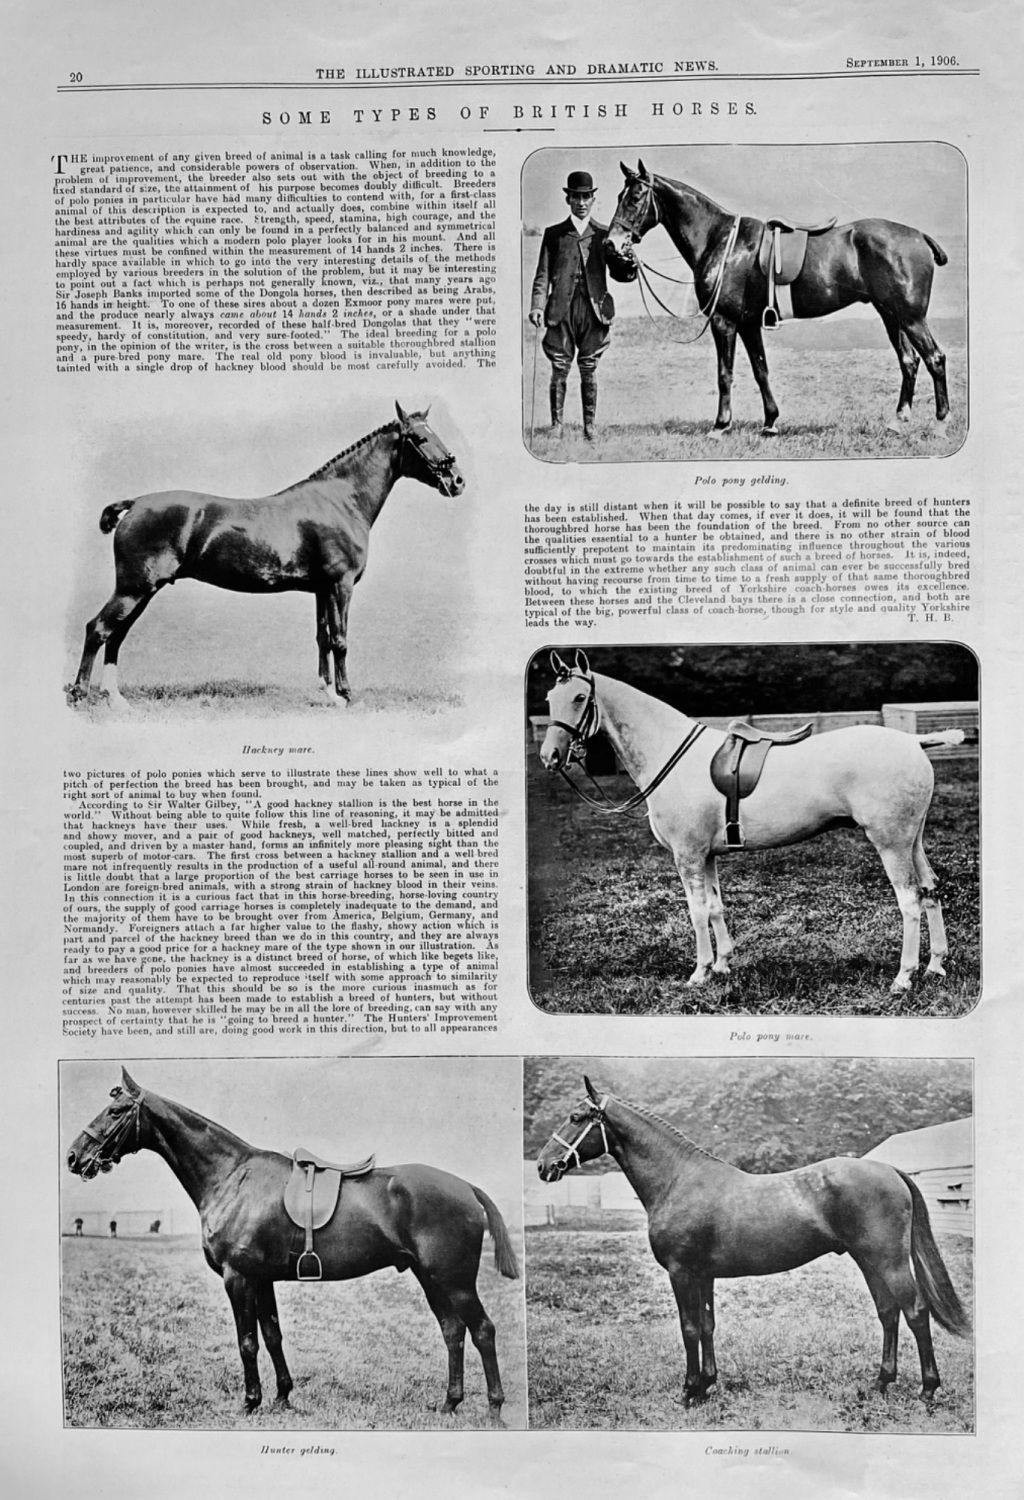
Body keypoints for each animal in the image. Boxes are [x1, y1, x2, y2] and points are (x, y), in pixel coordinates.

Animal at [66, 1069, 519, 1422]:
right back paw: (449, 1404)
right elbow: (272, 1336)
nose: (73, 1157)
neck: (231, 1177)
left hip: (455, 1280)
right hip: (431, 1278)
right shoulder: (261, 1280)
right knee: (452, 1331)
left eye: (115, 1111)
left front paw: (250, 1402)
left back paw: (494, 1410)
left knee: (482, 1331)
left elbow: (247, 1341)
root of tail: (466, 1187)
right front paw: (283, 1397)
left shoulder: (238, 1279)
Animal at [68, 403, 465, 709]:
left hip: (144, 590)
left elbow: (322, 638)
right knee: (98, 629)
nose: (457, 480)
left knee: (116, 635)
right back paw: (79, 695)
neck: (341, 500)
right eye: (420, 438)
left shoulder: (322, 589)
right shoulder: (341, 585)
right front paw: (347, 696)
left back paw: (116, 699)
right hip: (134, 588)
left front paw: (329, 695)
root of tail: (135, 503)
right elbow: (340, 639)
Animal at [536, 1078, 970, 1406]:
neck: (678, 1179)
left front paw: (689, 1392)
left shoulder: (682, 1273)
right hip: (869, 1261)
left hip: (888, 1261)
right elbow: (707, 1325)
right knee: (888, 1312)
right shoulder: (703, 1275)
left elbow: (689, 1328)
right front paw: (707, 1386)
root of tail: (889, 1170)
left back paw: (928, 1390)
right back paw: (880, 1383)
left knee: (915, 1311)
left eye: (576, 1117)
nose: (542, 1166)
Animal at [540, 651, 962, 994]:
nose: (550, 756)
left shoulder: (687, 856)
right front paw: (723, 965)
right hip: (912, 841)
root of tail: (913, 742)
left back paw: (903, 978)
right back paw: (935, 966)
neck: (670, 752)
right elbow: (715, 906)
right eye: (548, 699)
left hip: (890, 843)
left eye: (579, 698)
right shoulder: (707, 856)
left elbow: (696, 911)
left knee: (909, 901)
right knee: (930, 890)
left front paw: (699, 972)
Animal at [605, 161, 950, 435]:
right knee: (909, 361)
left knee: (934, 359)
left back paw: (941, 423)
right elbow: (761, 371)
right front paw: (770, 422)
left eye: (635, 197)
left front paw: (720, 425)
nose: (612, 243)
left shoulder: (723, 321)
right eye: (619, 197)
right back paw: (898, 421)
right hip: (891, 314)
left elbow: (724, 374)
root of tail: (919, 236)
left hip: (911, 317)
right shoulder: (747, 324)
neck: (721, 241)